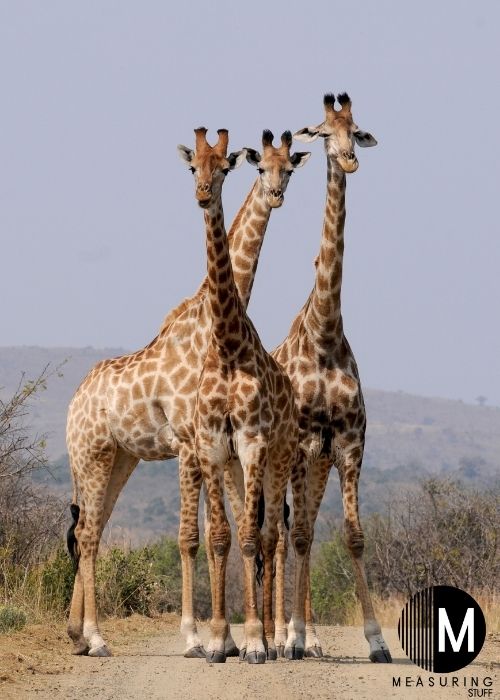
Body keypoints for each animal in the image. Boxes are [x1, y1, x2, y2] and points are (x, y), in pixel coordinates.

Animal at [65, 128, 310, 658]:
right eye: (193, 167)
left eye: (289, 169)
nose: (276, 195)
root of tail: (73, 403)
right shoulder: (188, 442)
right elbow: (190, 537)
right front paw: (198, 638)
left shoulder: (215, 445)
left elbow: (226, 531)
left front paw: (232, 640)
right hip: (91, 454)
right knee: (88, 533)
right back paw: (95, 637)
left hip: (120, 457)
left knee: (91, 528)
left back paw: (78, 633)